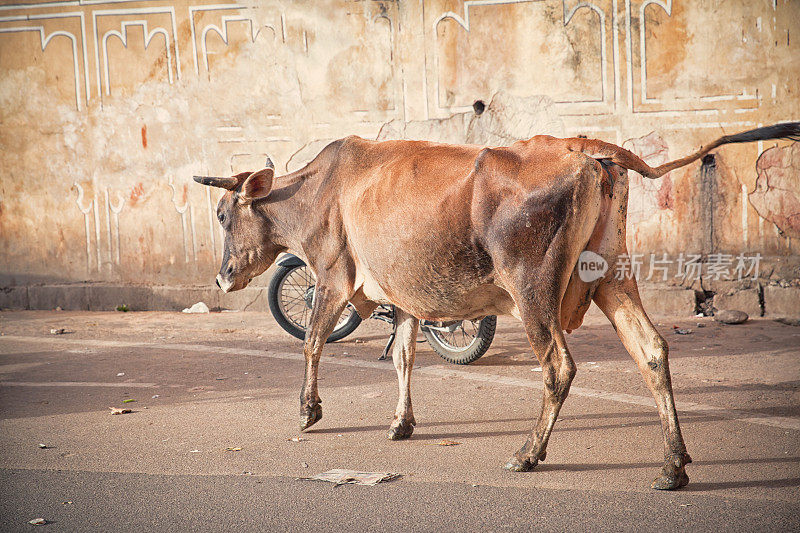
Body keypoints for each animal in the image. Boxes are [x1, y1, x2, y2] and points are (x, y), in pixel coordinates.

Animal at [195, 121, 800, 490]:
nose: (222, 277)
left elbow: (315, 341)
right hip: (611, 274)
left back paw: (528, 454)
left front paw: (308, 410)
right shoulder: (404, 295)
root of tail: (583, 147)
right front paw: (401, 423)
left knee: (558, 366)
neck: (316, 191)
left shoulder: (333, 277)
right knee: (651, 351)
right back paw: (673, 466)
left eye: (224, 214)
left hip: (531, 288)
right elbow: (403, 358)